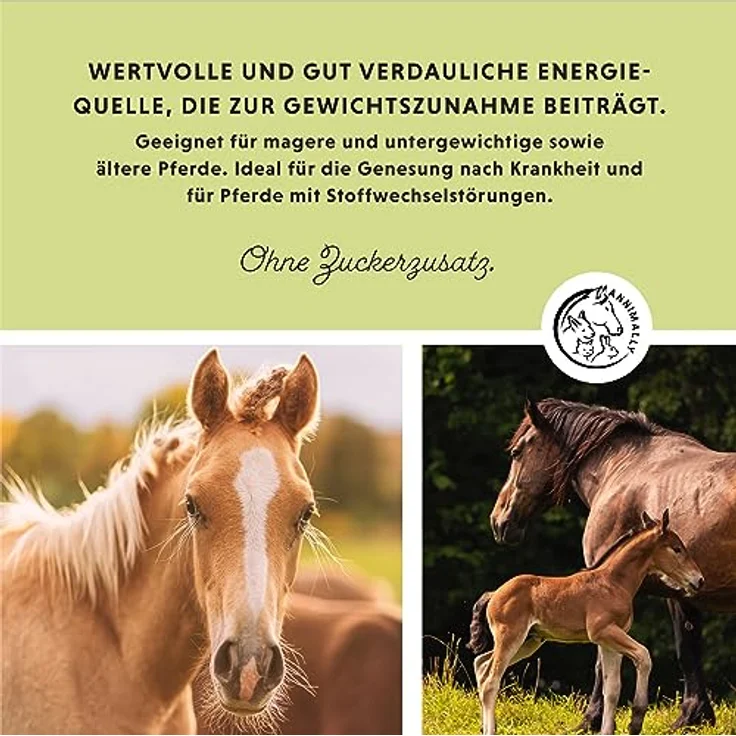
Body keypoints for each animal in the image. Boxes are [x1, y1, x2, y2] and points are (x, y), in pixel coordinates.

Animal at [470, 510, 704, 735]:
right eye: (677, 549)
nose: (699, 580)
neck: (613, 583)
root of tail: (494, 594)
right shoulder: (603, 631)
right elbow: (644, 656)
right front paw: (636, 721)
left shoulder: (610, 642)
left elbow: (612, 689)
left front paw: (607, 730)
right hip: (511, 637)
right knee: (491, 680)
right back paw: (490, 730)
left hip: (530, 640)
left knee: (481, 664)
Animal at [490, 398, 736, 730]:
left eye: (517, 452)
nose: (499, 520)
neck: (624, 467)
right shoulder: (682, 592)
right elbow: (688, 647)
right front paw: (694, 717)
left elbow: (603, 663)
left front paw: (592, 719)